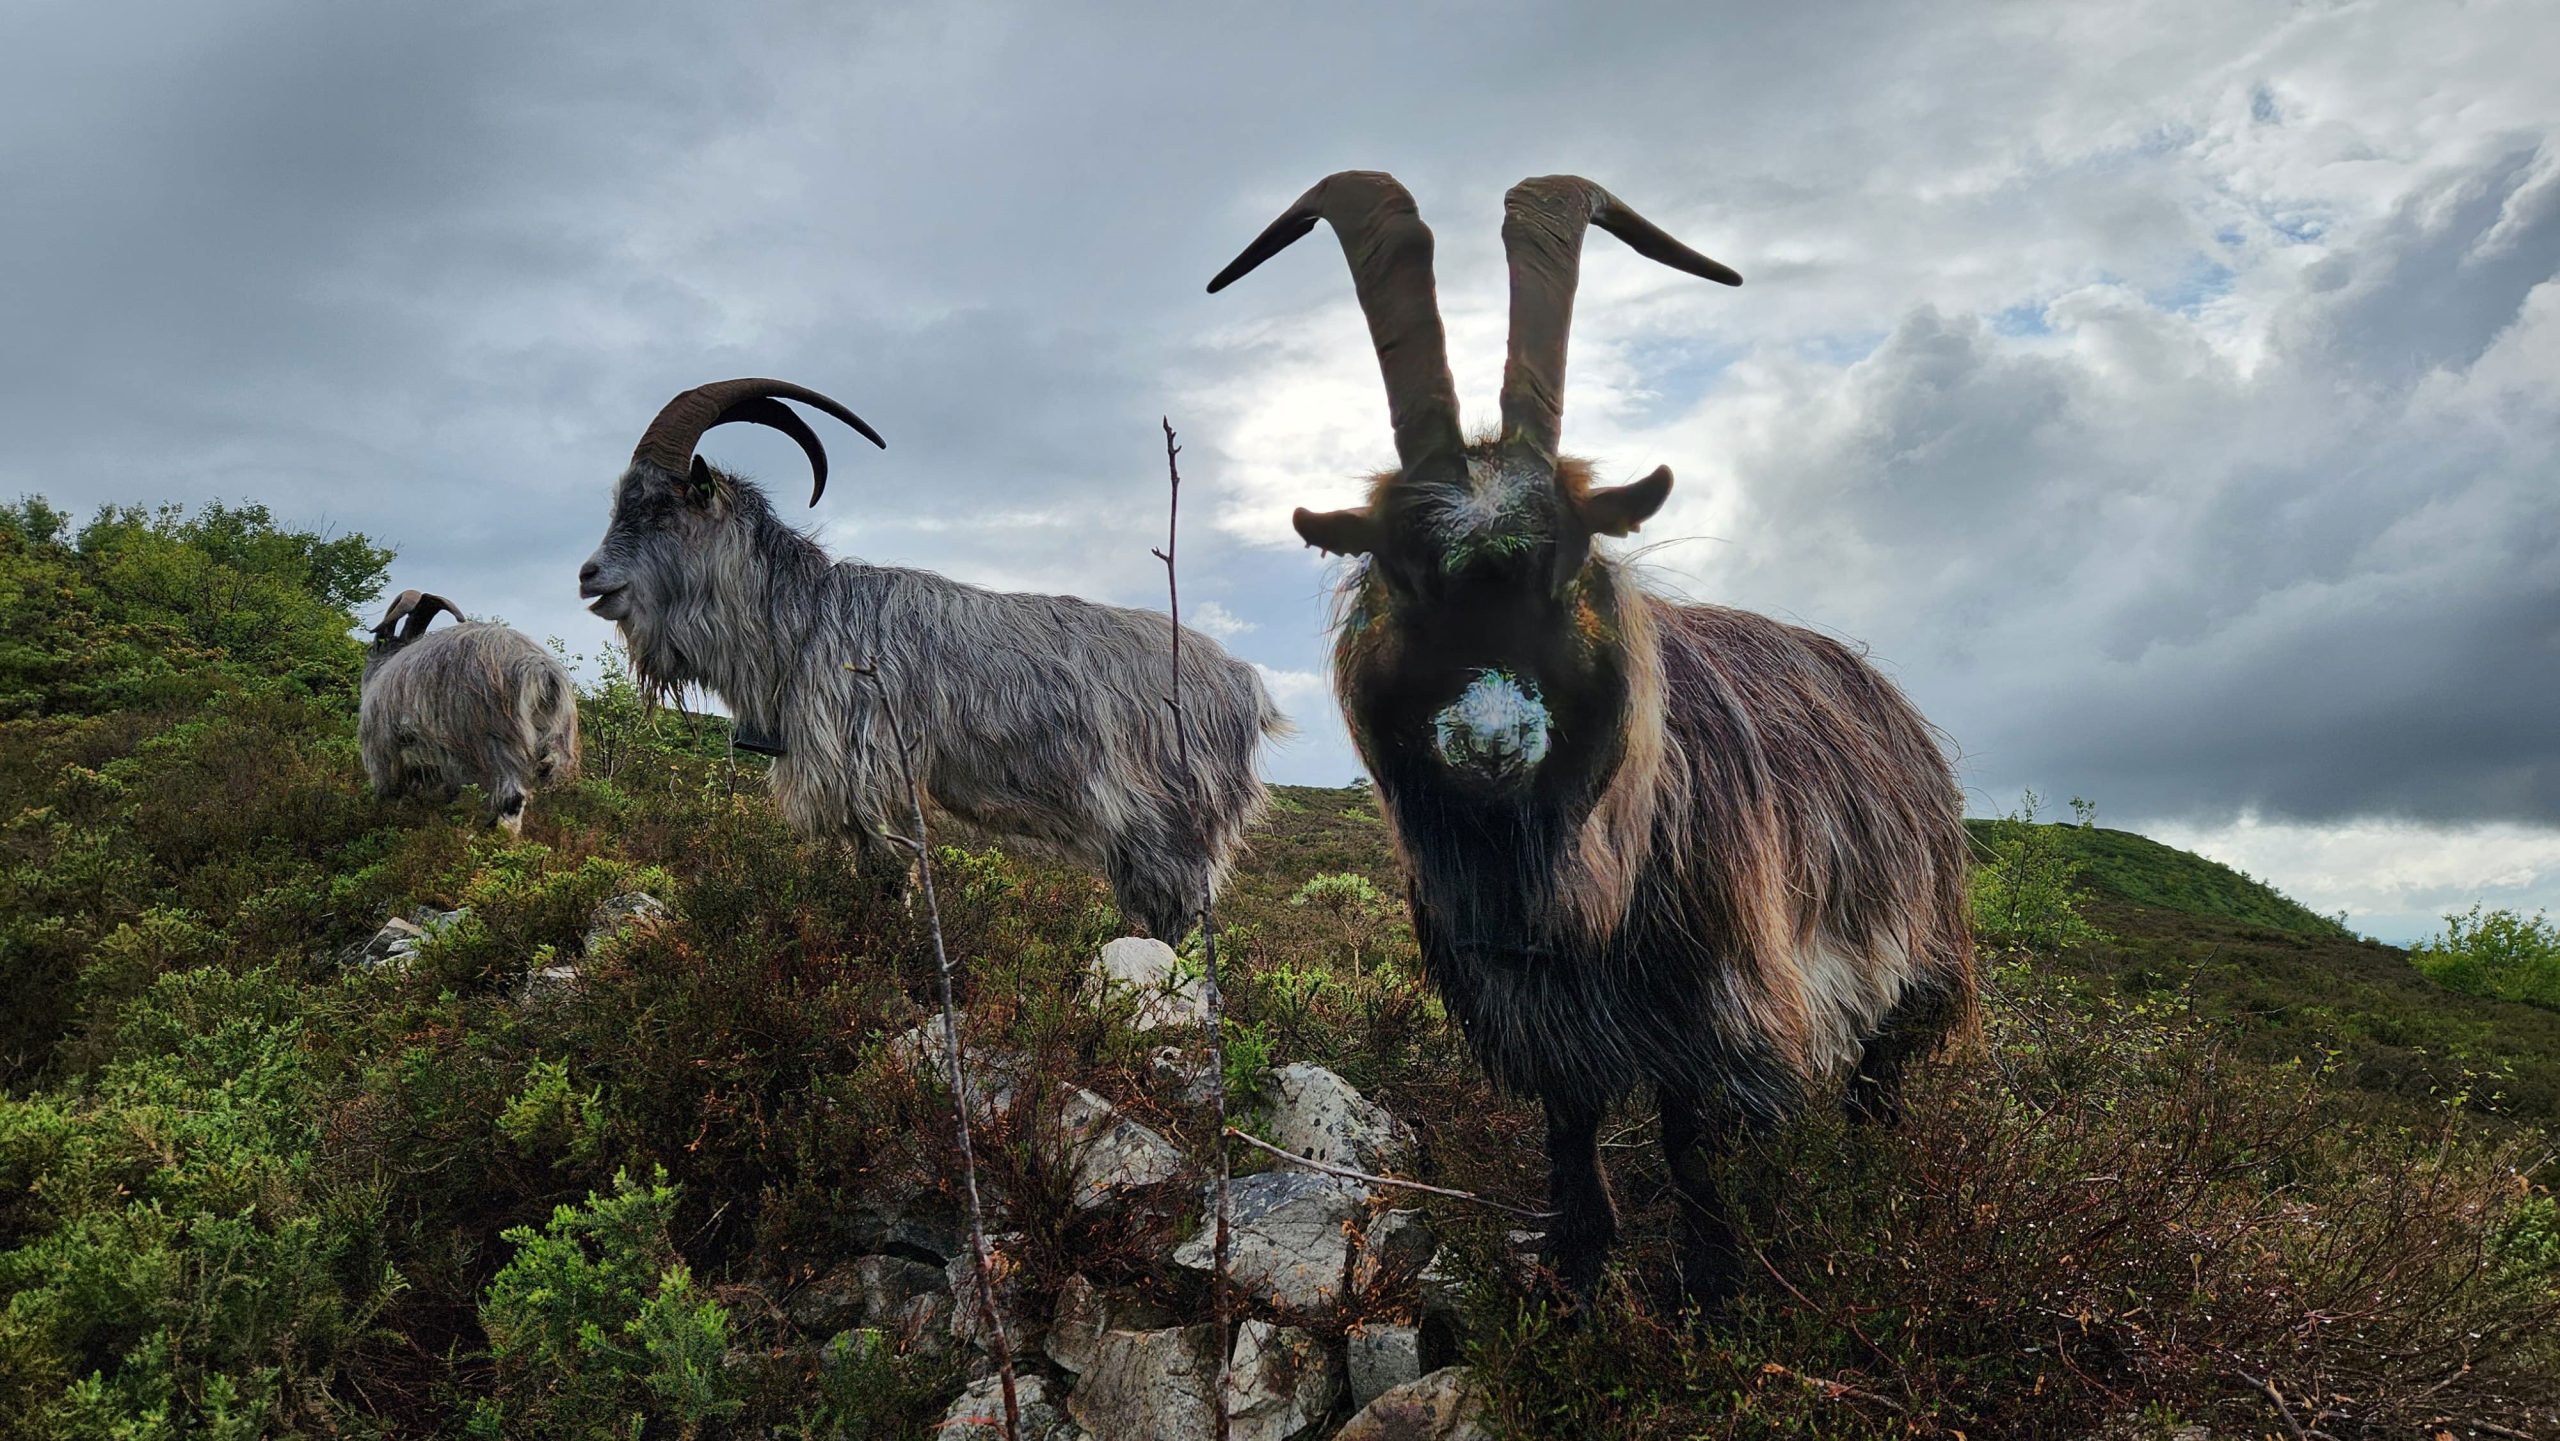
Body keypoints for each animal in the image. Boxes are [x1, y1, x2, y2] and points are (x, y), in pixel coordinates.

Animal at [575, 379, 1285, 940]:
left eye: (660, 506)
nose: (589, 577)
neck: (804, 622)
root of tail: (1245, 685)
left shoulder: (870, 770)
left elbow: (888, 878)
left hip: (1170, 822)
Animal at [1209, 173, 1975, 1308]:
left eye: (1568, 562)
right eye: (1398, 565)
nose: (1491, 741)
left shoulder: (1711, 998)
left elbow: (1691, 1138)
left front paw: (1710, 1287)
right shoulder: (1530, 1003)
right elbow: (1569, 1124)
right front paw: (1575, 1262)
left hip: (1917, 954)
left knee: (1879, 1077)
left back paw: (1864, 1175)